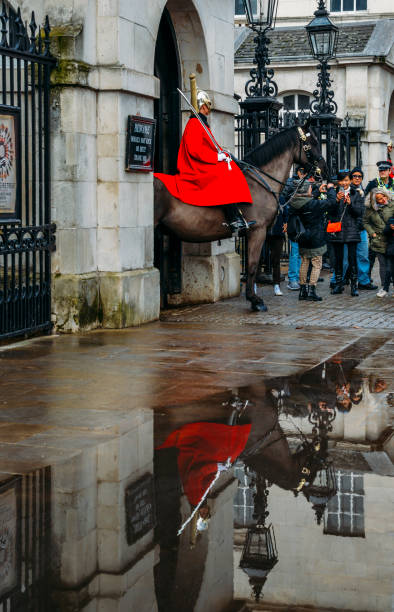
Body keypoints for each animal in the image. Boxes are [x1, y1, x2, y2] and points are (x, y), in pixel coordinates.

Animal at [155, 125, 328, 316]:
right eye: (312, 142)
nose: (325, 168)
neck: (260, 182)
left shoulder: (259, 233)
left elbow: (256, 264)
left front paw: (253, 296)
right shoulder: (258, 230)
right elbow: (252, 265)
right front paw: (255, 301)